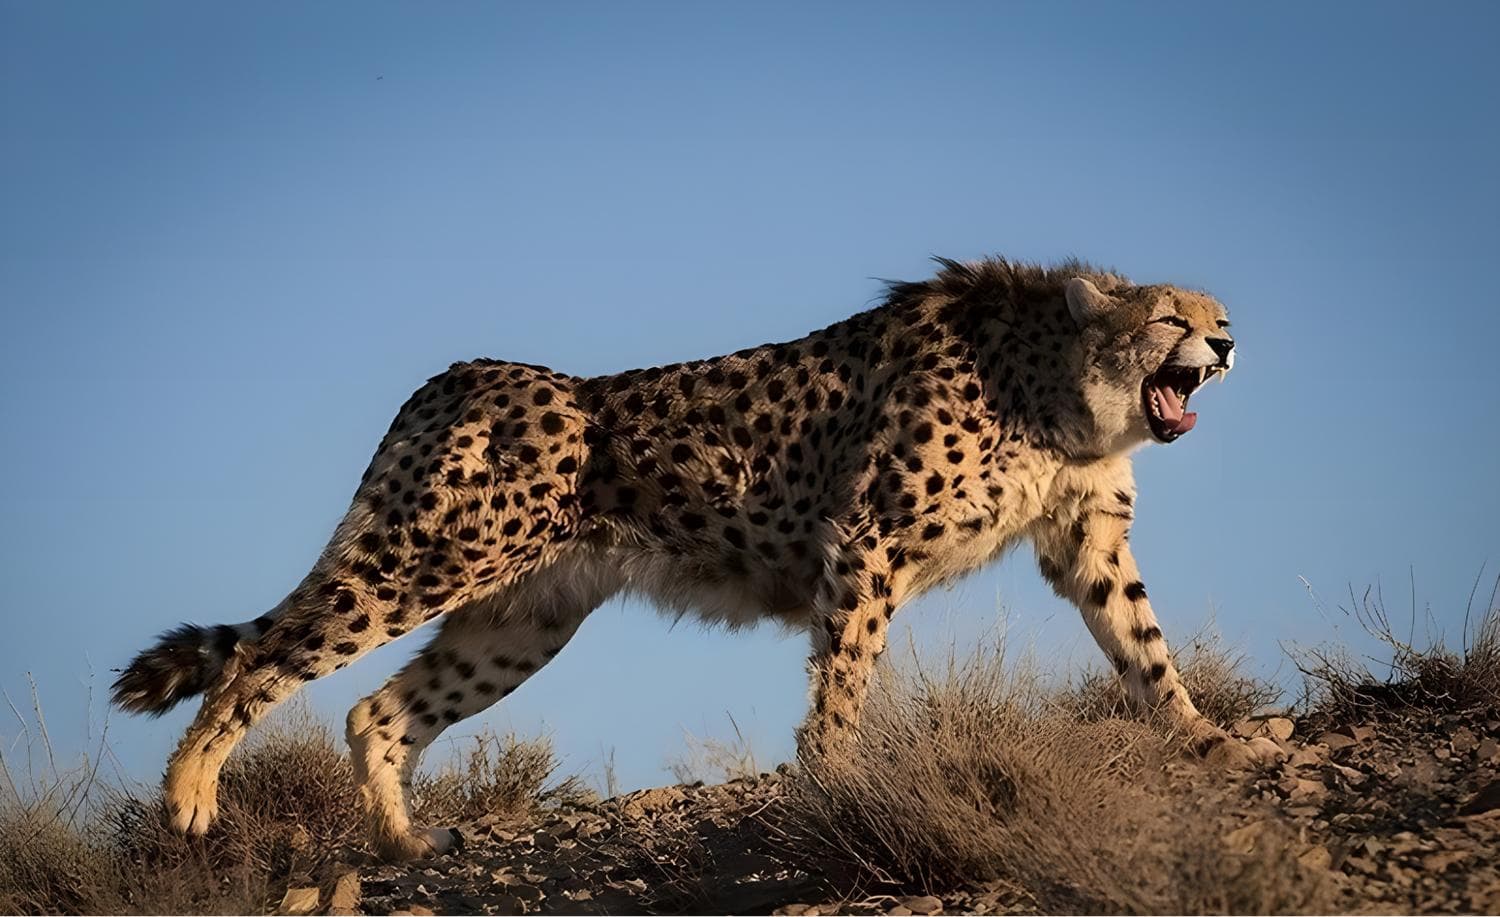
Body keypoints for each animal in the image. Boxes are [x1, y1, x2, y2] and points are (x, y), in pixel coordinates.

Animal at [113, 256, 1278, 861]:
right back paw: (190, 797)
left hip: (521, 618)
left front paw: (1205, 738)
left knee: (378, 709)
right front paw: (834, 776)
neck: (1053, 388)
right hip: (430, 557)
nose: (1226, 347)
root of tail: (467, 373)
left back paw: (401, 844)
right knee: (261, 653)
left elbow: (1143, 643)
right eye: (1169, 317)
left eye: (1219, 315)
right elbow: (845, 676)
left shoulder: (1086, 541)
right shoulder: (865, 540)